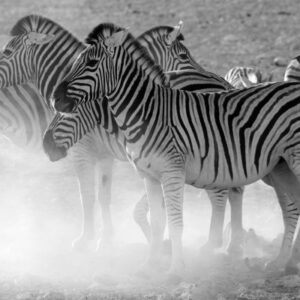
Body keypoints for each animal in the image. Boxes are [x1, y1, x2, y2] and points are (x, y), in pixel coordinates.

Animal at [51, 22, 300, 278]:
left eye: (91, 63)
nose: (55, 98)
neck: (146, 112)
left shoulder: (172, 171)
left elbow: (175, 221)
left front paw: (175, 269)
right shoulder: (149, 175)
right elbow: (157, 221)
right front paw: (150, 264)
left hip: (290, 161)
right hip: (279, 168)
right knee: (291, 207)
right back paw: (284, 261)